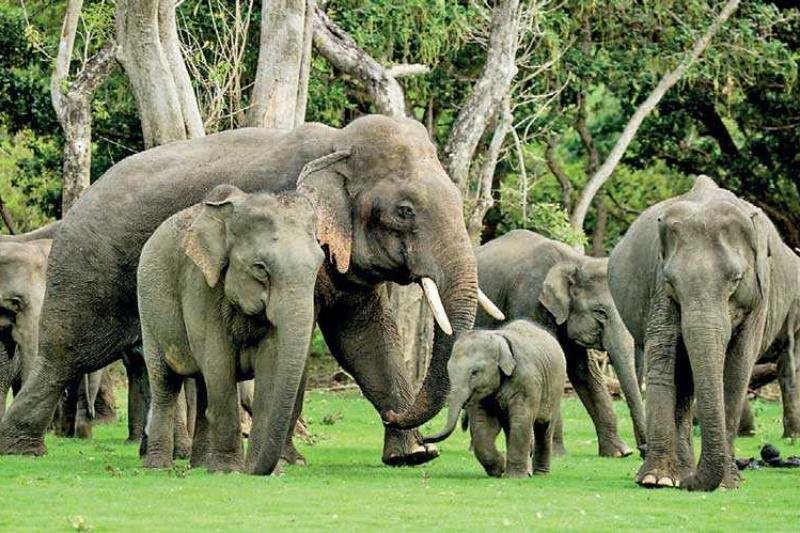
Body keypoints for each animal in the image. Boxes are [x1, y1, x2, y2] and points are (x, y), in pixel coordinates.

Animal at [138, 186, 324, 474]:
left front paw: (267, 473)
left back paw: (201, 466)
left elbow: (269, 366)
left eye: (320, 264)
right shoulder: (201, 285)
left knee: (204, 386)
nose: (253, 469)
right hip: (148, 309)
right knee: (166, 382)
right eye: (260, 269)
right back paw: (158, 467)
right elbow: (219, 362)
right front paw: (229, 470)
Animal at [423, 320, 565, 478]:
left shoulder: (527, 382)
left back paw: (540, 474)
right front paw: (499, 469)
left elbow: (521, 421)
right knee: (511, 428)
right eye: (449, 370)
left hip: (555, 387)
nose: (423, 440)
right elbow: (483, 426)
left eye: (475, 372)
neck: (499, 339)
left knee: (544, 427)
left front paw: (515, 477)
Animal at [474, 230, 646, 457]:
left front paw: (619, 453)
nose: (642, 450)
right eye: (600, 312)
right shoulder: (529, 300)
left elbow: (584, 371)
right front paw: (555, 454)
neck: (576, 262)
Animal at [608, 176, 800, 491]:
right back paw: (678, 474)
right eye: (672, 281)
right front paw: (655, 479)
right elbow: (663, 354)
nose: (691, 484)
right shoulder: (658, 286)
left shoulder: (760, 297)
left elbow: (738, 367)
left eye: (736, 279)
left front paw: (726, 483)